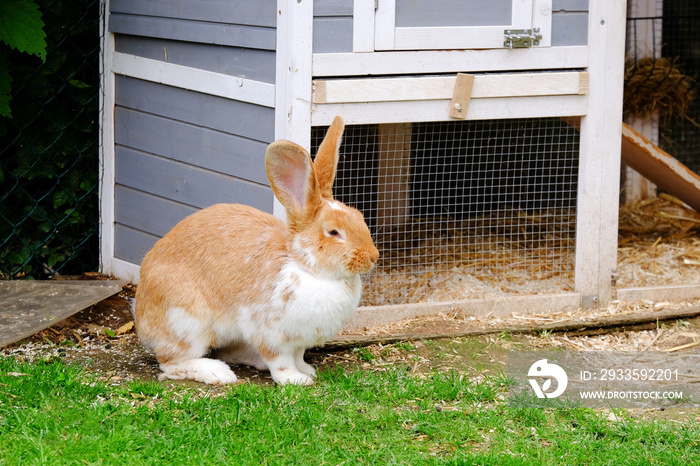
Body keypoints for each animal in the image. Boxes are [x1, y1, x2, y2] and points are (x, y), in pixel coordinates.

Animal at [135, 116, 380, 386]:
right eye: (334, 232)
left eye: (359, 217)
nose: (373, 257)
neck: (306, 267)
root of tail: (141, 318)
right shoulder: (272, 335)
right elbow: (281, 361)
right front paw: (296, 380)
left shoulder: (298, 342)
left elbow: (298, 356)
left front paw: (307, 371)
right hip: (187, 324)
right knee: (171, 362)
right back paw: (217, 373)